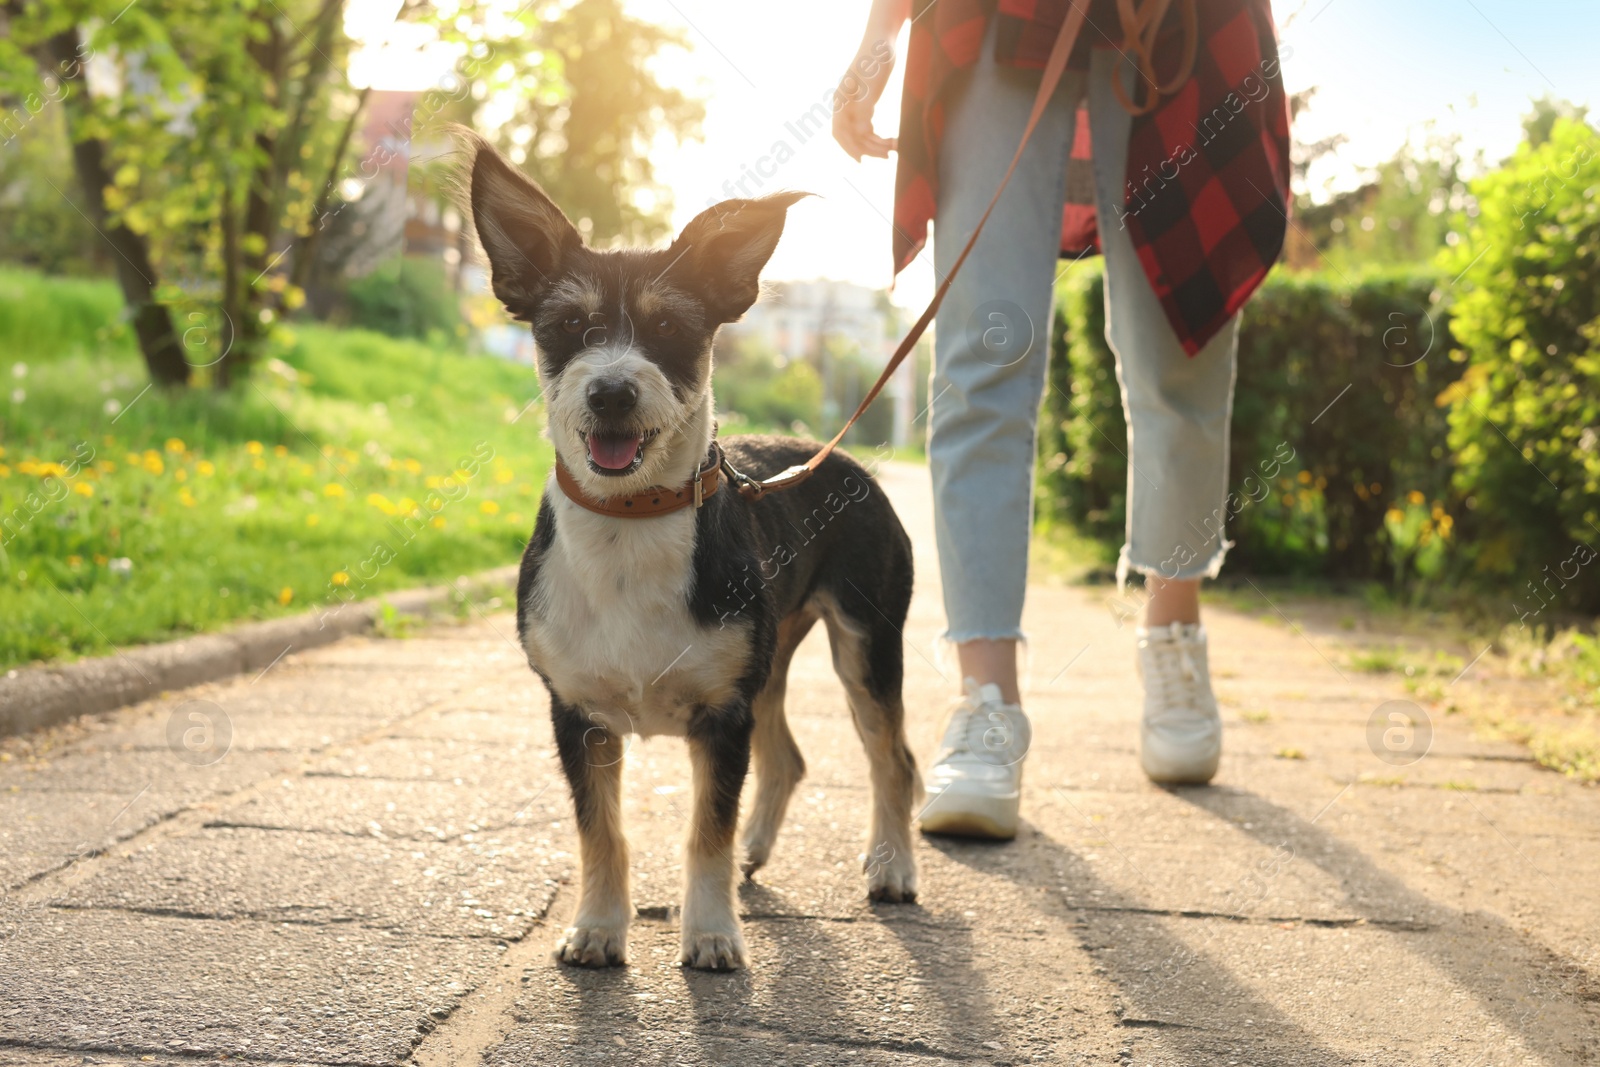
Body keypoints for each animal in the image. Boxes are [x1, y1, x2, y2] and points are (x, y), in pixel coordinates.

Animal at [460, 135, 915, 979]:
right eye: (566, 324)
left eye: (670, 327)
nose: (611, 391)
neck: (630, 525)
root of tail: (841, 458)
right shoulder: (576, 713)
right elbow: (602, 832)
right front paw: (598, 928)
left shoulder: (722, 714)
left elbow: (706, 829)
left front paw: (711, 933)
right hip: (772, 661)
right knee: (789, 759)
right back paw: (757, 854)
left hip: (866, 642)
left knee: (892, 758)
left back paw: (893, 865)